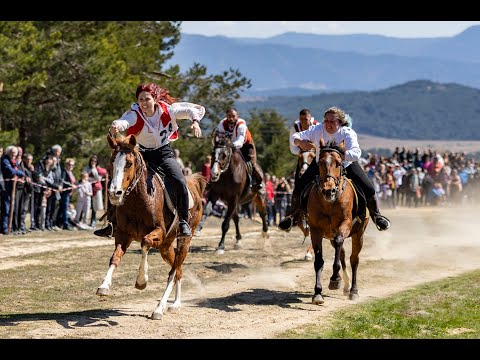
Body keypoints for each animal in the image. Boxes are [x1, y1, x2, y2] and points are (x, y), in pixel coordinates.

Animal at [95, 134, 206, 320]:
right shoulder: (123, 235)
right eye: (111, 161)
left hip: (183, 241)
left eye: (129, 163)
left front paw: (141, 280)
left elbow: (145, 242)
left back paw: (160, 308)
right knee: (178, 270)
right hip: (165, 247)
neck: (138, 199)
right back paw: (175, 304)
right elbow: (115, 257)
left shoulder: (158, 232)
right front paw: (104, 285)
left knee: (173, 272)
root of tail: (193, 185)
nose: (114, 193)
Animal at [306, 138, 370, 304]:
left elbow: (340, 243)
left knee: (354, 259)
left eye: (339, 162)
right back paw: (346, 285)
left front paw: (335, 278)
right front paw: (318, 292)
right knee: (342, 255)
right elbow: (319, 260)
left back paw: (353, 290)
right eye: (320, 162)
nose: (329, 190)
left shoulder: (345, 224)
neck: (330, 203)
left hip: (359, 234)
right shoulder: (315, 230)